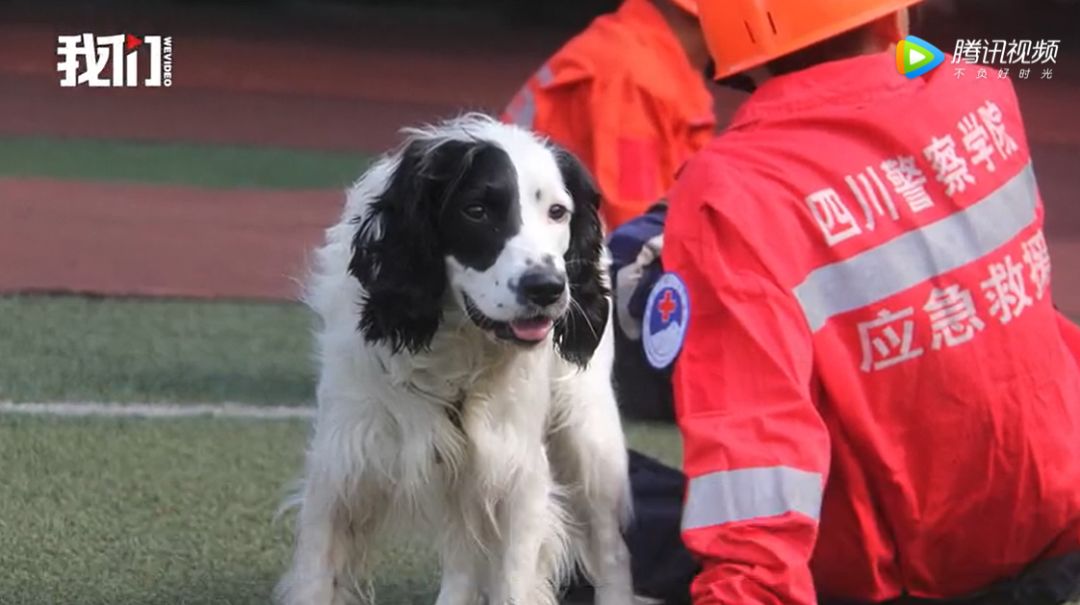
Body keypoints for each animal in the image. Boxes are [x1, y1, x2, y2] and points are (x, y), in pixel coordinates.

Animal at [276, 114, 630, 605]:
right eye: (476, 211)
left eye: (558, 212)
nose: (547, 288)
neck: (454, 346)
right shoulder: (343, 460)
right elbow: (316, 574)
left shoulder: (517, 473)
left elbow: (514, 581)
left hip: (588, 438)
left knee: (611, 552)